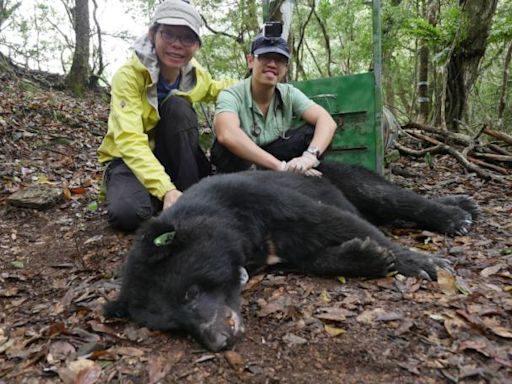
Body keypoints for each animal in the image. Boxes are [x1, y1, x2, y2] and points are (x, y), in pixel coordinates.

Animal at [103, 161, 476, 352]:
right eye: (176, 327)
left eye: (190, 293)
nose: (219, 340)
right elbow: (311, 256)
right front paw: (367, 256)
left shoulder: (258, 199)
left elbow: (329, 219)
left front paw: (423, 263)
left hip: (343, 177)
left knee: (390, 196)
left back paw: (458, 212)